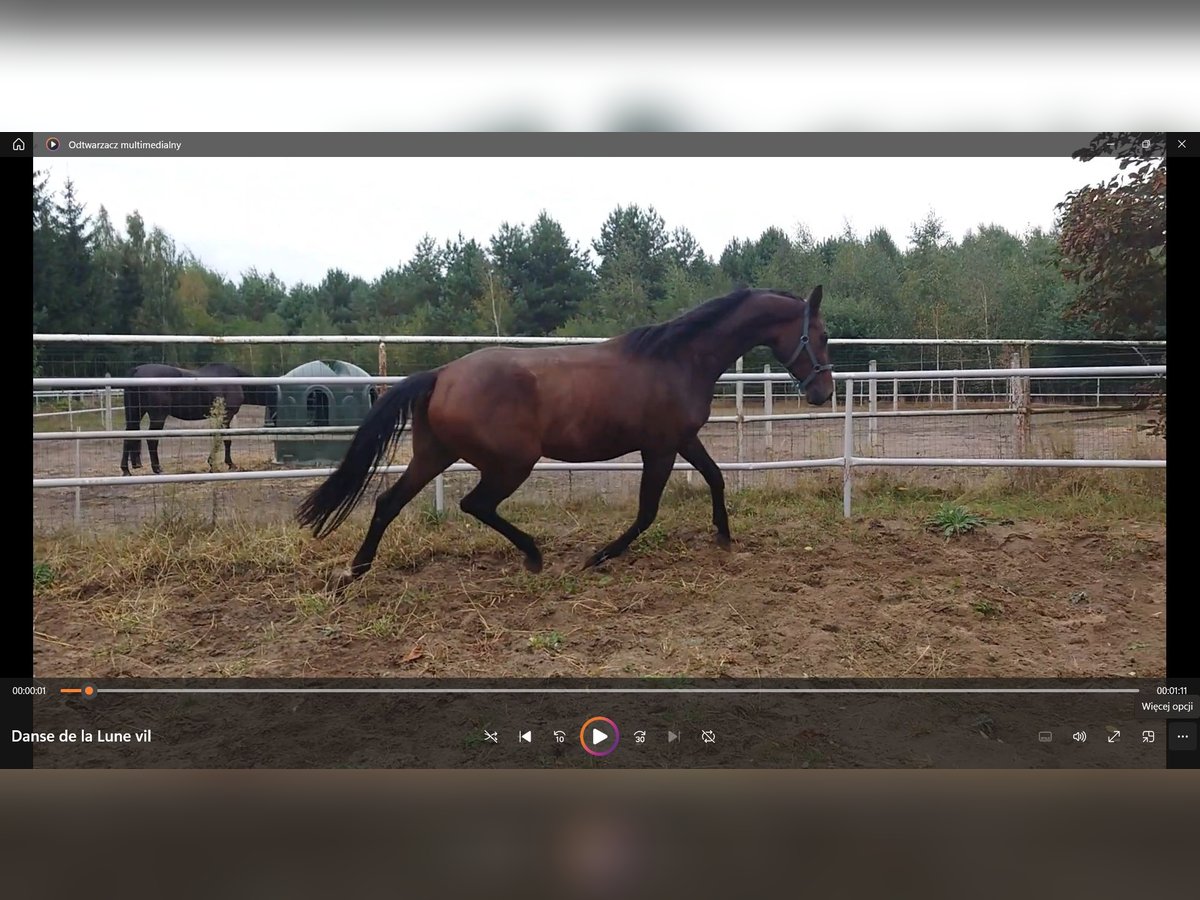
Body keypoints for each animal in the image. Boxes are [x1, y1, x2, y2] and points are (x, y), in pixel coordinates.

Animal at [123, 364, 278, 480]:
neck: (236, 381)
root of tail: (136, 371)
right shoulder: (226, 416)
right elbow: (225, 440)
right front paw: (224, 464)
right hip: (158, 415)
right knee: (152, 440)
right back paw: (157, 469)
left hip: (135, 413)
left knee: (128, 436)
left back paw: (126, 470)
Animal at [297, 285, 835, 588]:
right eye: (823, 335)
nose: (824, 392)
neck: (678, 359)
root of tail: (442, 374)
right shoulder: (659, 448)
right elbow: (647, 511)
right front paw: (598, 556)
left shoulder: (682, 440)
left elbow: (717, 477)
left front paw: (724, 537)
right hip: (511, 463)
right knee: (475, 504)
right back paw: (534, 556)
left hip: (435, 455)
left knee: (388, 502)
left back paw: (355, 572)